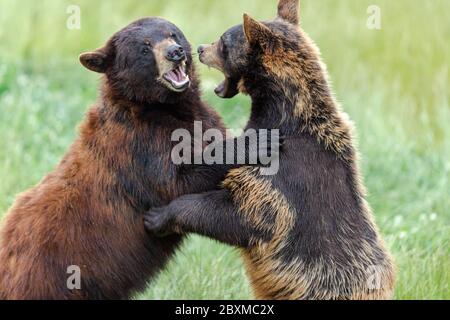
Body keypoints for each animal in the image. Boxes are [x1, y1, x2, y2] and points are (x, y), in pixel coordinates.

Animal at [0, 16, 246, 300]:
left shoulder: (201, 119)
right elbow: (175, 182)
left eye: (172, 34)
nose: (175, 52)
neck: (159, 106)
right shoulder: (137, 146)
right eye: (145, 47)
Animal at [144, 0, 394, 300]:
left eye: (224, 42)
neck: (282, 116)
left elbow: (239, 216)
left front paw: (160, 216)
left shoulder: (276, 185)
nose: (200, 48)